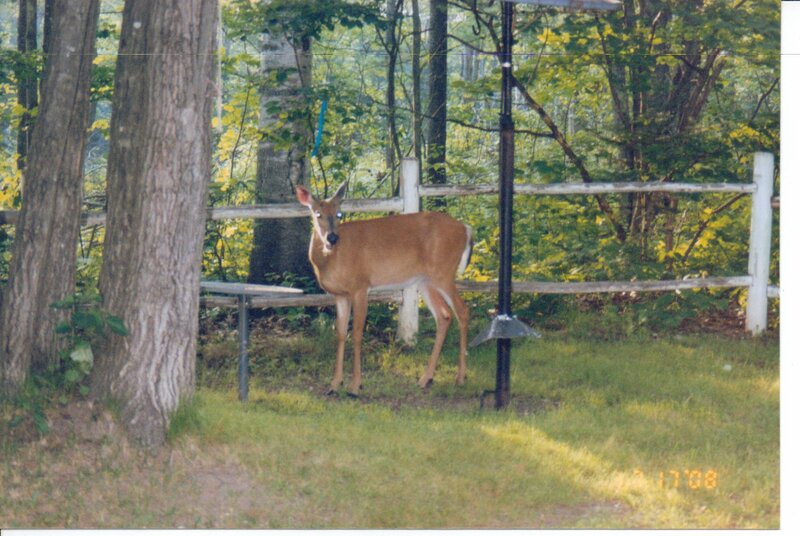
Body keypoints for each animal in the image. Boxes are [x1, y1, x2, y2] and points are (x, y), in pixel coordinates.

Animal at [296, 182, 472, 397]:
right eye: (317, 213)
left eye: (339, 213)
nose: (332, 237)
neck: (333, 259)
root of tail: (465, 229)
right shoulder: (340, 295)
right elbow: (340, 333)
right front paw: (334, 384)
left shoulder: (360, 286)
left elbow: (357, 332)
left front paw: (355, 386)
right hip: (425, 281)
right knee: (444, 316)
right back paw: (425, 379)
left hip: (444, 272)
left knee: (462, 311)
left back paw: (460, 377)